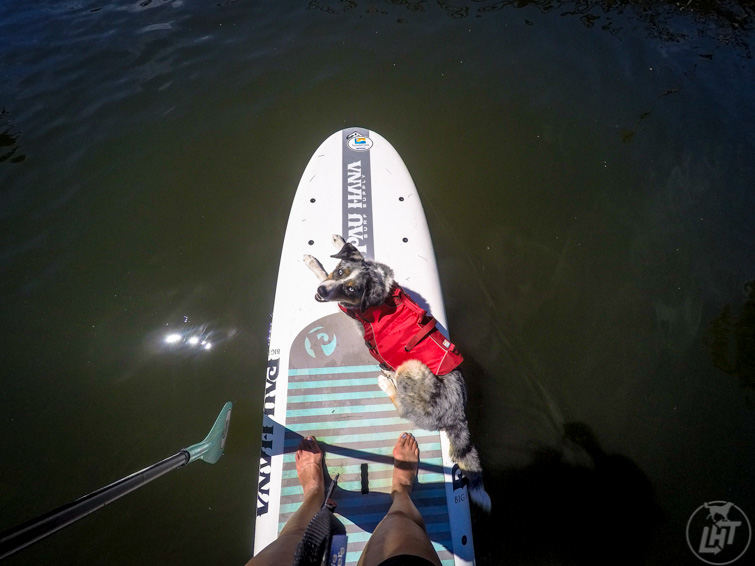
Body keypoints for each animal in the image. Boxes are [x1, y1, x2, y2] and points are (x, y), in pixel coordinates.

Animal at [304, 233, 494, 512]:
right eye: (340, 271)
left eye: (351, 289)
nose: (320, 293)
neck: (381, 292)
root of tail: (457, 414)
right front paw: (340, 242)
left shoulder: (345, 307)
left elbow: (322, 276)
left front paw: (313, 263)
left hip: (410, 366)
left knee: (402, 406)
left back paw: (388, 382)